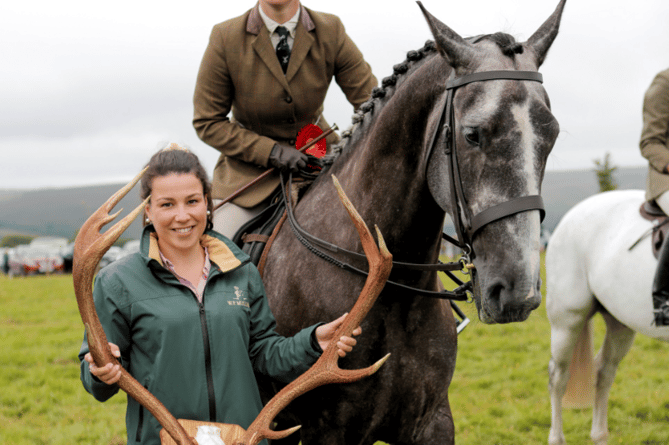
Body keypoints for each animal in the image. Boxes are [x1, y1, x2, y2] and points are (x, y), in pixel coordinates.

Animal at [258, 1, 568, 442]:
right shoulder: (325, 430)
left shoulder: (432, 420)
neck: (389, 291)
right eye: (472, 134)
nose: (518, 291)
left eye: (552, 135)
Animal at [544, 188, 668, 444]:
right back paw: (557, 438)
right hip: (567, 322)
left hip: (620, 323)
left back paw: (599, 435)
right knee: (558, 378)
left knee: (603, 372)